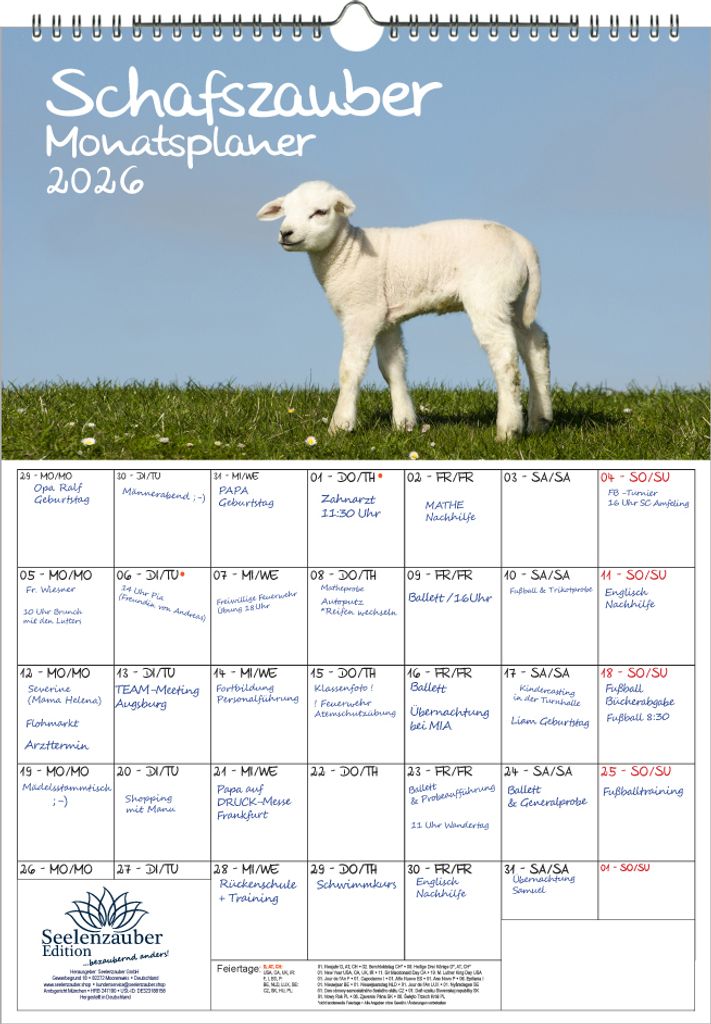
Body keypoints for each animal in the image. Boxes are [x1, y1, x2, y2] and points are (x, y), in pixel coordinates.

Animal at [257, 180, 552, 440]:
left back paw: (508, 430)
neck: (346, 254)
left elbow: (350, 368)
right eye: (285, 211)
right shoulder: (386, 317)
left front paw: (340, 425)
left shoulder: (362, 313)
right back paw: (541, 420)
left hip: (488, 296)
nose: (285, 233)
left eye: (320, 212)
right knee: (536, 343)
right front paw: (404, 423)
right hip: (516, 299)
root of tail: (523, 245)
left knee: (504, 355)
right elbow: (392, 367)